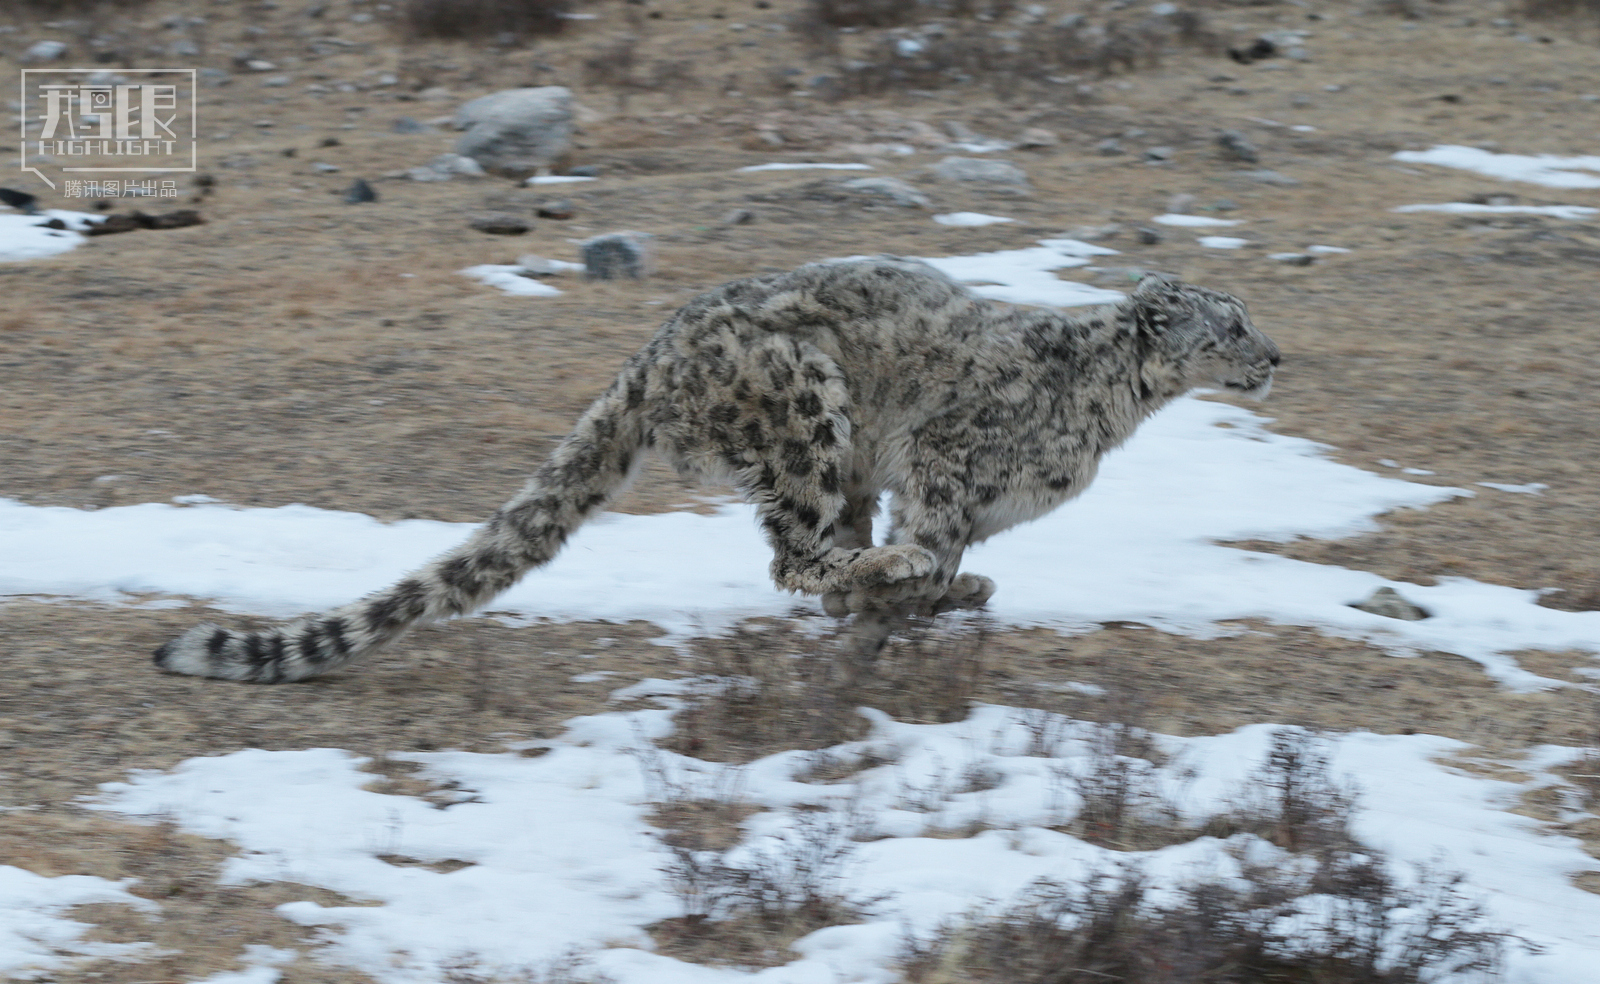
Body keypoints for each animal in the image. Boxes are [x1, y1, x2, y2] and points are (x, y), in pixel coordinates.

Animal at [156, 257, 1280, 681]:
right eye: (1228, 324)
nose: (1274, 354)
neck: (1114, 408)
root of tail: (650, 356)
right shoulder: (946, 459)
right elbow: (932, 531)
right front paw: (917, 584)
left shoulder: (947, 496)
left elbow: (946, 551)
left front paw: (946, 591)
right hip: (806, 410)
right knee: (796, 551)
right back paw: (875, 572)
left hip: (835, 456)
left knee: (817, 547)